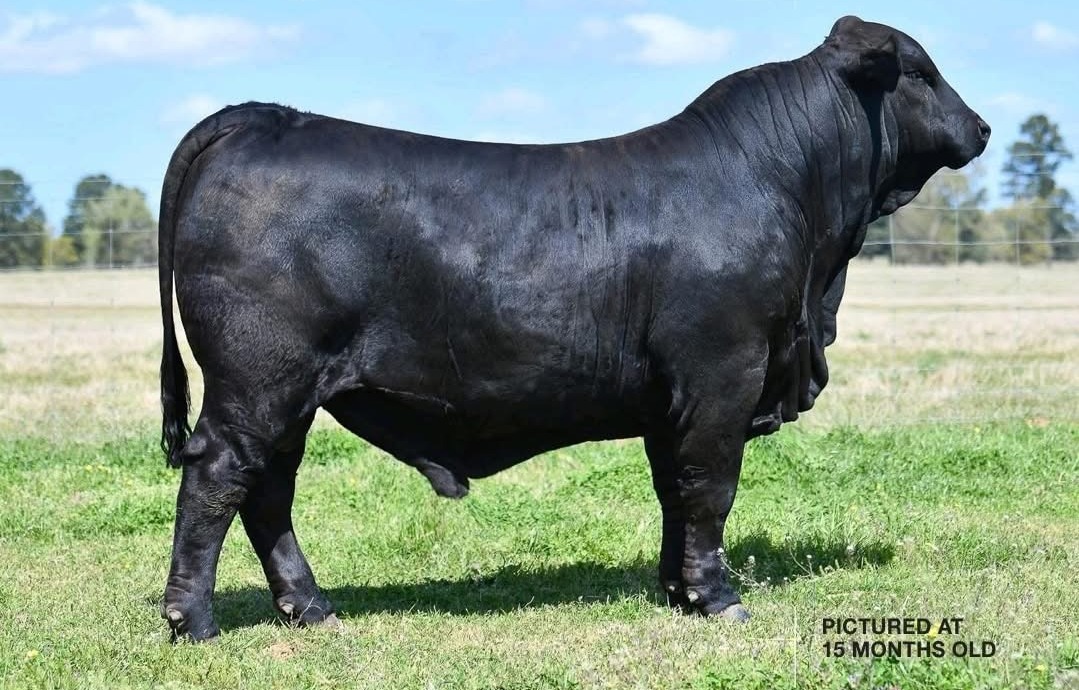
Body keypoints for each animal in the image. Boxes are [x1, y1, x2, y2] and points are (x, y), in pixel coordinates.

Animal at [157, 16, 989, 640]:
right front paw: (718, 599)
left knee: (268, 491)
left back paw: (312, 609)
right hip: (258, 381)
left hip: (288, 395)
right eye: (920, 72)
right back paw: (193, 620)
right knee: (218, 478)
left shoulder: (670, 398)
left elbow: (674, 489)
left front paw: (676, 591)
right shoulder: (724, 373)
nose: (980, 127)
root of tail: (267, 117)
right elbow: (711, 487)